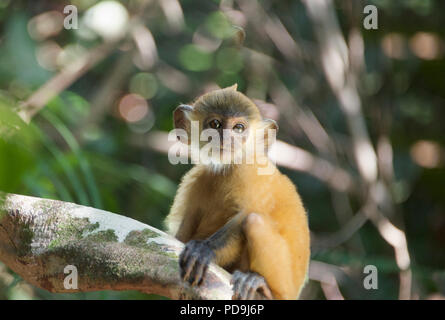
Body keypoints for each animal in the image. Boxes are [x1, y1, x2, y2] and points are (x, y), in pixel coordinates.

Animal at [164, 85, 308, 300]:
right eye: (215, 124)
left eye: (238, 128)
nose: (225, 138)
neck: (228, 168)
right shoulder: (198, 180)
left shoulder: (249, 172)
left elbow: (245, 216)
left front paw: (203, 251)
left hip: (284, 285)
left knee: (254, 220)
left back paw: (261, 284)